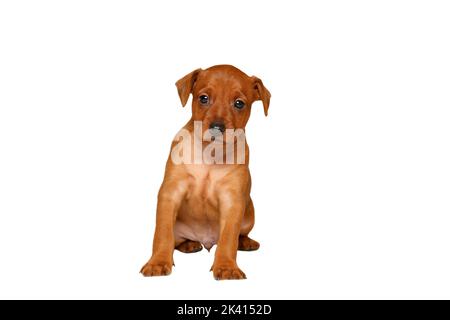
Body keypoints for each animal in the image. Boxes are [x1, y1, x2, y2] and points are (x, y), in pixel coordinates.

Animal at [141, 65, 268, 280]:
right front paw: (158, 262)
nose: (217, 127)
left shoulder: (232, 201)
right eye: (203, 98)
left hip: (249, 214)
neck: (210, 155)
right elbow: (162, 234)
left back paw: (245, 242)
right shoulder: (170, 194)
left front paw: (226, 267)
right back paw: (189, 244)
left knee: (238, 235)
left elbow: (228, 239)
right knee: (176, 240)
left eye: (239, 103)